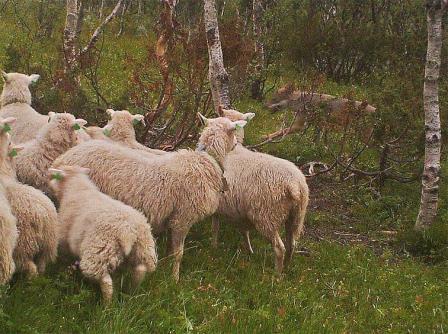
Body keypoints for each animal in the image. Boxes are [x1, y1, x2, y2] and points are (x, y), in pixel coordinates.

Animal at [48, 164, 158, 302]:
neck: (77, 188)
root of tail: (128, 232)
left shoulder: (63, 239)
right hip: (143, 249)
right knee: (140, 270)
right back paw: (131, 293)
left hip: (98, 253)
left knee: (106, 282)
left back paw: (106, 304)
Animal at [53, 116, 247, 280]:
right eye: (234, 130)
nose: (236, 144)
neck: (207, 160)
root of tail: (63, 158)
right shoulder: (183, 218)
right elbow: (179, 254)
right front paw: (174, 279)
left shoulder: (172, 219)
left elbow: (171, 250)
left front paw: (166, 270)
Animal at [201, 111, 310, 272]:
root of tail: (295, 185)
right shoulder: (240, 210)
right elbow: (243, 231)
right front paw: (249, 251)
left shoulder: (220, 205)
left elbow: (215, 228)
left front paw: (213, 248)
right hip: (297, 216)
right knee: (291, 244)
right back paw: (287, 268)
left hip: (266, 215)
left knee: (279, 248)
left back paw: (277, 274)